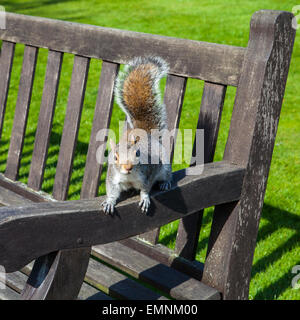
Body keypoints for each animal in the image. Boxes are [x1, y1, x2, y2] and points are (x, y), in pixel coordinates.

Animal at [101, 56, 172, 214]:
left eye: (138, 153)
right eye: (115, 157)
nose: (128, 167)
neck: (129, 177)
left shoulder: (147, 175)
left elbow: (146, 189)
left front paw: (144, 198)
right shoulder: (112, 177)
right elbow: (112, 191)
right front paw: (109, 201)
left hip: (165, 164)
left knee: (166, 174)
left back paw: (165, 183)